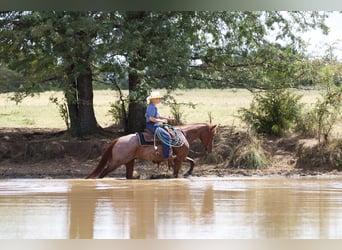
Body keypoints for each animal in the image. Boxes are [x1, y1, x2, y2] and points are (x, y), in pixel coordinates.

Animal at [86, 122, 216, 179]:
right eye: (213, 135)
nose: (210, 149)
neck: (183, 135)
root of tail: (118, 139)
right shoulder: (179, 158)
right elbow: (176, 173)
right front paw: (186, 173)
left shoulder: (181, 157)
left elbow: (192, 161)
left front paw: (188, 172)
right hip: (116, 162)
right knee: (103, 173)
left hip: (129, 161)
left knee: (128, 175)